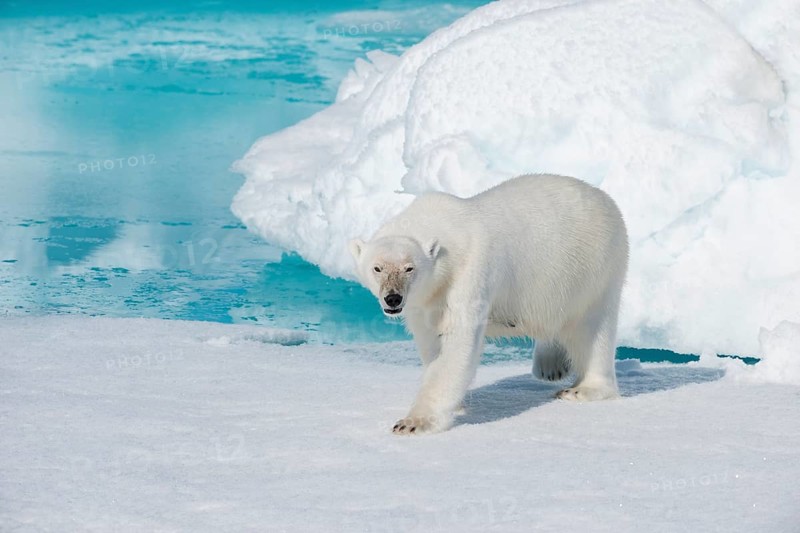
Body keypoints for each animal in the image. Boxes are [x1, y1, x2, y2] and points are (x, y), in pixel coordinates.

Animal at [349, 174, 629, 435]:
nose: (393, 298)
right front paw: (456, 403)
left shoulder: (468, 272)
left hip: (594, 269)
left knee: (592, 330)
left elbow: (458, 343)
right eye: (377, 268)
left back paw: (583, 389)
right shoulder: (424, 300)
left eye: (409, 268)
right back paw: (551, 365)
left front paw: (412, 422)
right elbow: (431, 342)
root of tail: (607, 201)